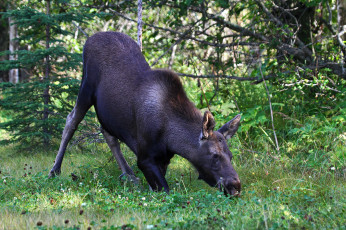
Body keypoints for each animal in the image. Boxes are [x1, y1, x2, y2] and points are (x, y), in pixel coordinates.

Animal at [50, 31, 242, 197]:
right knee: (71, 120)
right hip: (86, 88)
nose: (235, 186)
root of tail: (90, 38)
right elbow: (165, 191)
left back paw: (128, 175)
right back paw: (55, 170)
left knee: (106, 131)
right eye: (214, 156)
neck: (171, 137)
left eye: (231, 156)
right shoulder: (145, 158)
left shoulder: (164, 159)